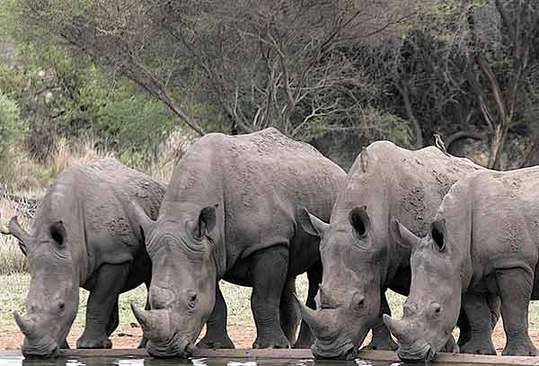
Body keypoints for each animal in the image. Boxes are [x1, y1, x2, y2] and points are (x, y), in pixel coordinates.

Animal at [1, 160, 167, 358]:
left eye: (61, 306)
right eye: (27, 305)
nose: (36, 353)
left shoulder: (114, 257)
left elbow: (98, 301)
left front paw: (89, 346)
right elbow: (101, 298)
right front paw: (66, 347)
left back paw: (140, 346)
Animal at [133, 128, 348, 358]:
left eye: (192, 299)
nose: (165, 352)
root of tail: (334, 166)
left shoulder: (266, 243)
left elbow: (263, 298)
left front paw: (269, 347)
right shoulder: (207, 251)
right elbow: (215, 302)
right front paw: (214, 346)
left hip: (326, 216)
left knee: (317, 271)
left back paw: (301, 346)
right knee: (289, 272)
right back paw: (289, 343)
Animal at [298, 142, 500, 358]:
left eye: (360, 303)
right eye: (316, 301)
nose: (329, 355)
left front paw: (443, 347)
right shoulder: (374, 263)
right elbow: (380, 307)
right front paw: (380, 348)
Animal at [388, 167, 539, 362]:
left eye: (437, 310)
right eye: (405, 307)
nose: (410, 356)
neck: (455, 242)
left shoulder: (513, 263)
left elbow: (514, 309)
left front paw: (519, 354)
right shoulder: (467, 271)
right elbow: (477, 313)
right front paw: (478, 352)